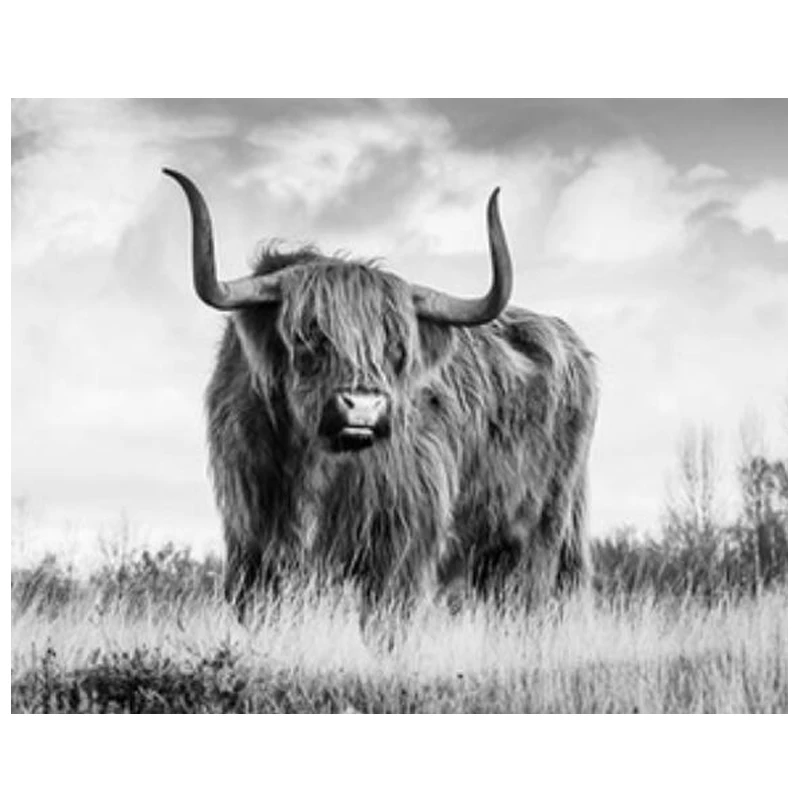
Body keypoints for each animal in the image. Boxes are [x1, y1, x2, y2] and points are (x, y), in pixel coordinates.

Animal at [163, 168, 598, 620]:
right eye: (308, 336)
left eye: (397, 347)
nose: (364, 407)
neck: (314, 466)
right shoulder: (251, 543)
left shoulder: (400, 546)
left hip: (537, 535)